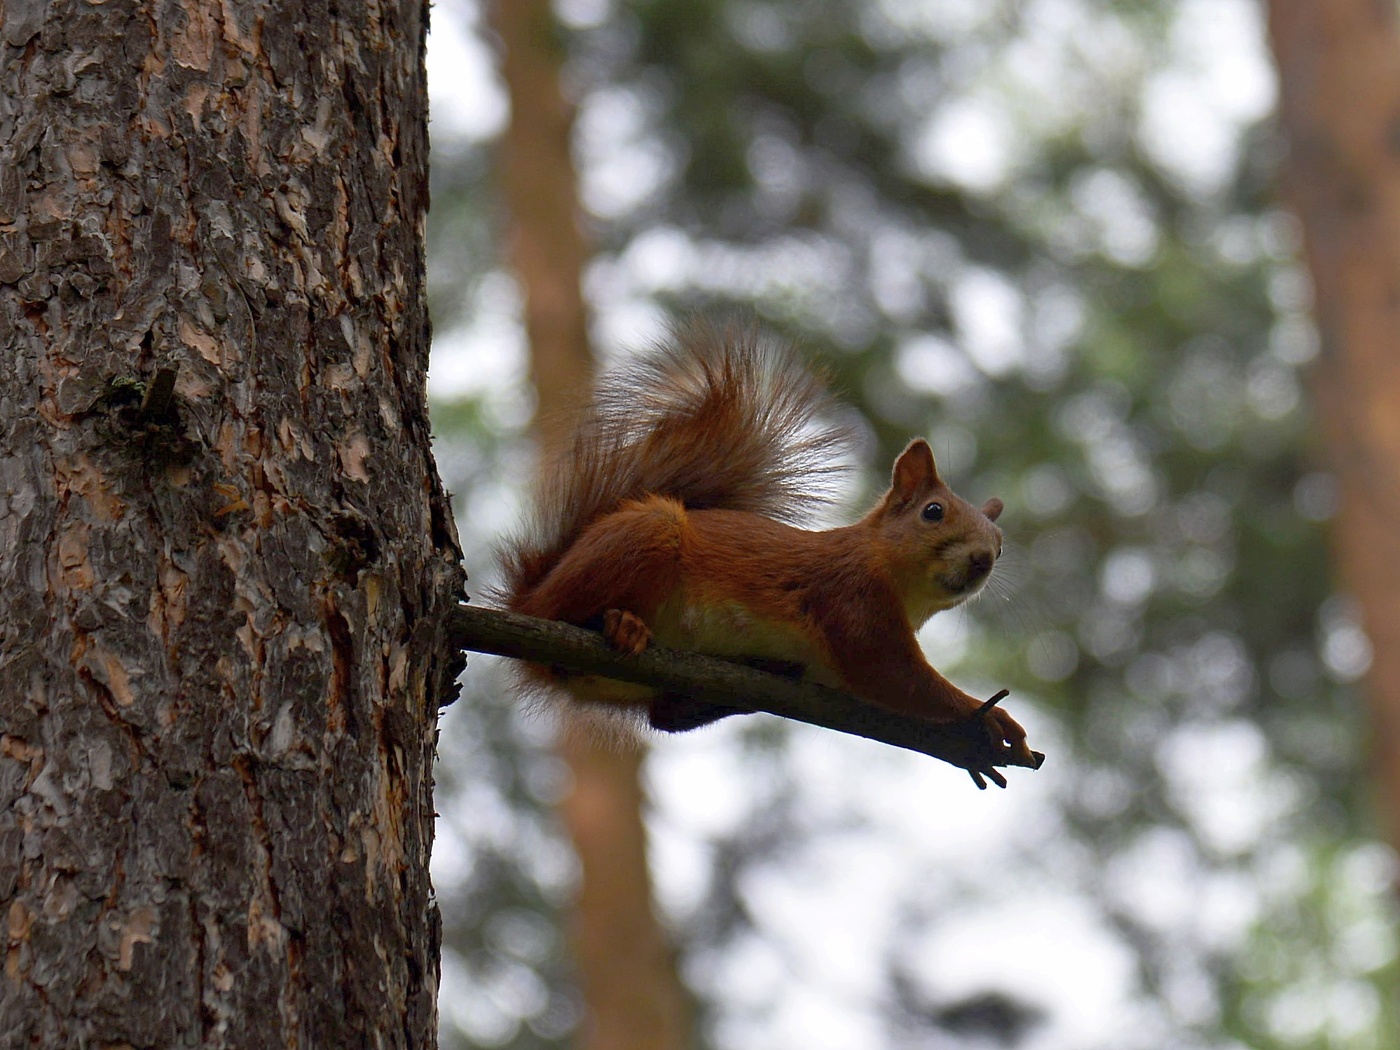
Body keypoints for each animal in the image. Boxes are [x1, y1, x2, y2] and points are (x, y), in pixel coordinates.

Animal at [500, 321, 1037, 772]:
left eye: (1000, 546)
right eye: (933, 512)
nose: (982, 560)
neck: (894, 578)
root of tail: (528, 595)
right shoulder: (850, 597)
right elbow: (893, 675)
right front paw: (987, 717)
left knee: (663, 716)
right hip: (641, 537)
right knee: (563, 616)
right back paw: (618, 624)